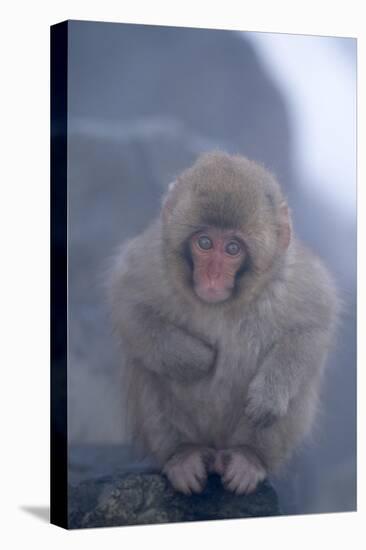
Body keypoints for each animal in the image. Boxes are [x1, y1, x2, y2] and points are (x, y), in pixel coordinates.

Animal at [108, 153, 338, 498]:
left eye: (232, 249)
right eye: (204, 242)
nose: (213, 277)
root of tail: (216, 451)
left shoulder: (293, 278)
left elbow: (312, 328)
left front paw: (268, 396)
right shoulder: (150, 262)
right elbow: (128, 307)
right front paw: (198, 360)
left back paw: (248, 458)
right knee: (147, 368)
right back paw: (183, 455)